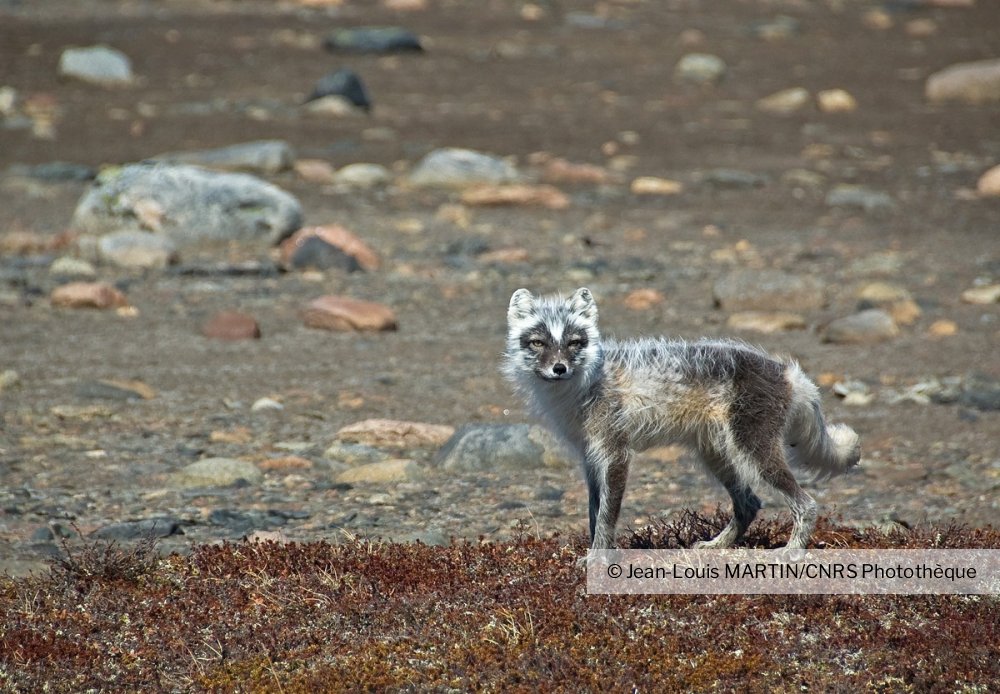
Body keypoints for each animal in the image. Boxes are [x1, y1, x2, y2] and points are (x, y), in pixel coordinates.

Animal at [504, 288, 864, 556]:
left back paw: (791, 552)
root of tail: (788, 372)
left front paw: (598, 559)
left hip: (754, 449)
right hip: (716, 454)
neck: (586, 384)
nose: (559, 368)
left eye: (574, 342)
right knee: (749, 503)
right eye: (538, 342)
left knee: (806, 504)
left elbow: (607, 516)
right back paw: (716, 546)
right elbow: (595, 513)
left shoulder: (616, 453)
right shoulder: (590, 457)